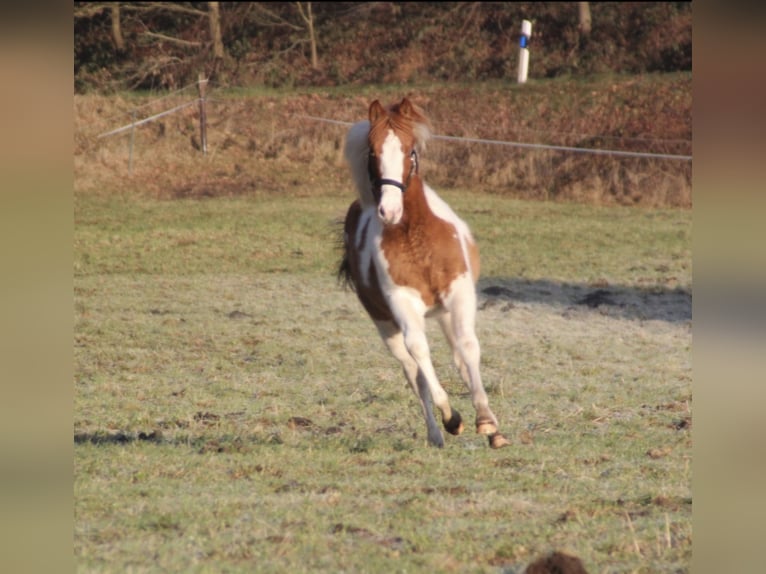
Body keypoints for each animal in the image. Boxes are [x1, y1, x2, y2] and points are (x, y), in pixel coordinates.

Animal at [338, 97, 509, 449]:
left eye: (410, 150)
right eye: (372, 151)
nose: (389, 211)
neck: (415, 236)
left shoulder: (459, 294)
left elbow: (469, 348)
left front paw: (487, 421)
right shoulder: (401, 303)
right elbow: (419, 353)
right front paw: (453, 418)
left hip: (443, 313)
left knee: (457, 355)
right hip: (383, 321)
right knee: (413, 371)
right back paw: (436, 434)